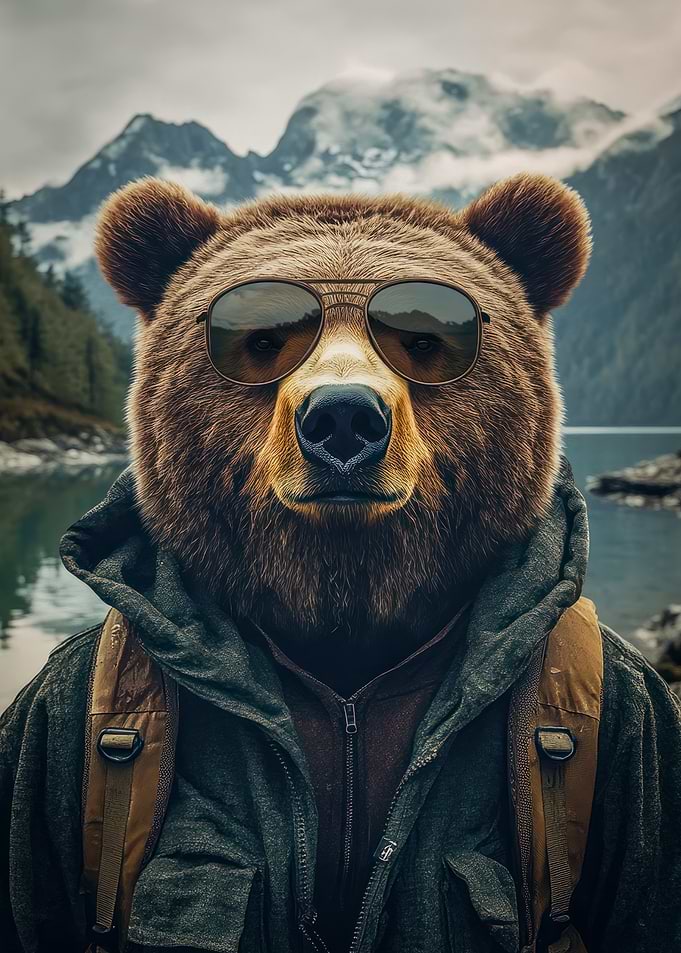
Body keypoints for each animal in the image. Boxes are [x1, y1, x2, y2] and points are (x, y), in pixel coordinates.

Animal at [1, 173, 681, 953]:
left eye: (425, 339)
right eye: (261, 339)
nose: (344, 418)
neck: (346, 618)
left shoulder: (636, 724)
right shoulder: (52, 720)